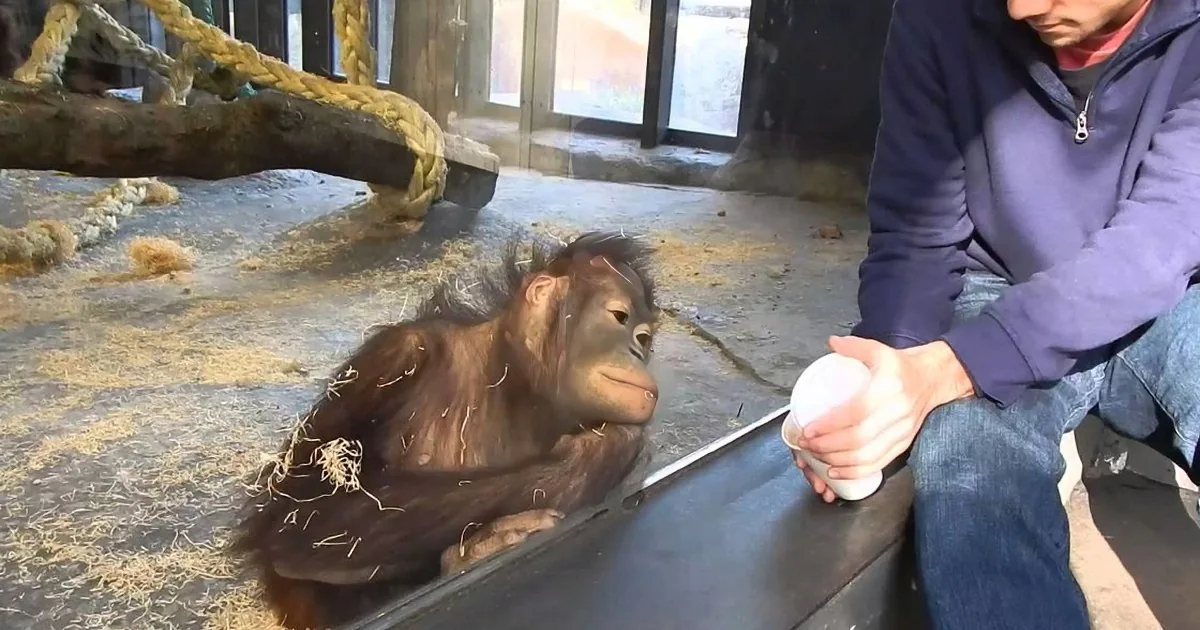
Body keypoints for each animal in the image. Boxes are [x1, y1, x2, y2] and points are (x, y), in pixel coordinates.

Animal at [228, 231, 663, 630]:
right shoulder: (394, 356)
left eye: (644, 338)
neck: (511, 378)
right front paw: (602, 450)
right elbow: (301, 515)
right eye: (619, 317)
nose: (637, 351)